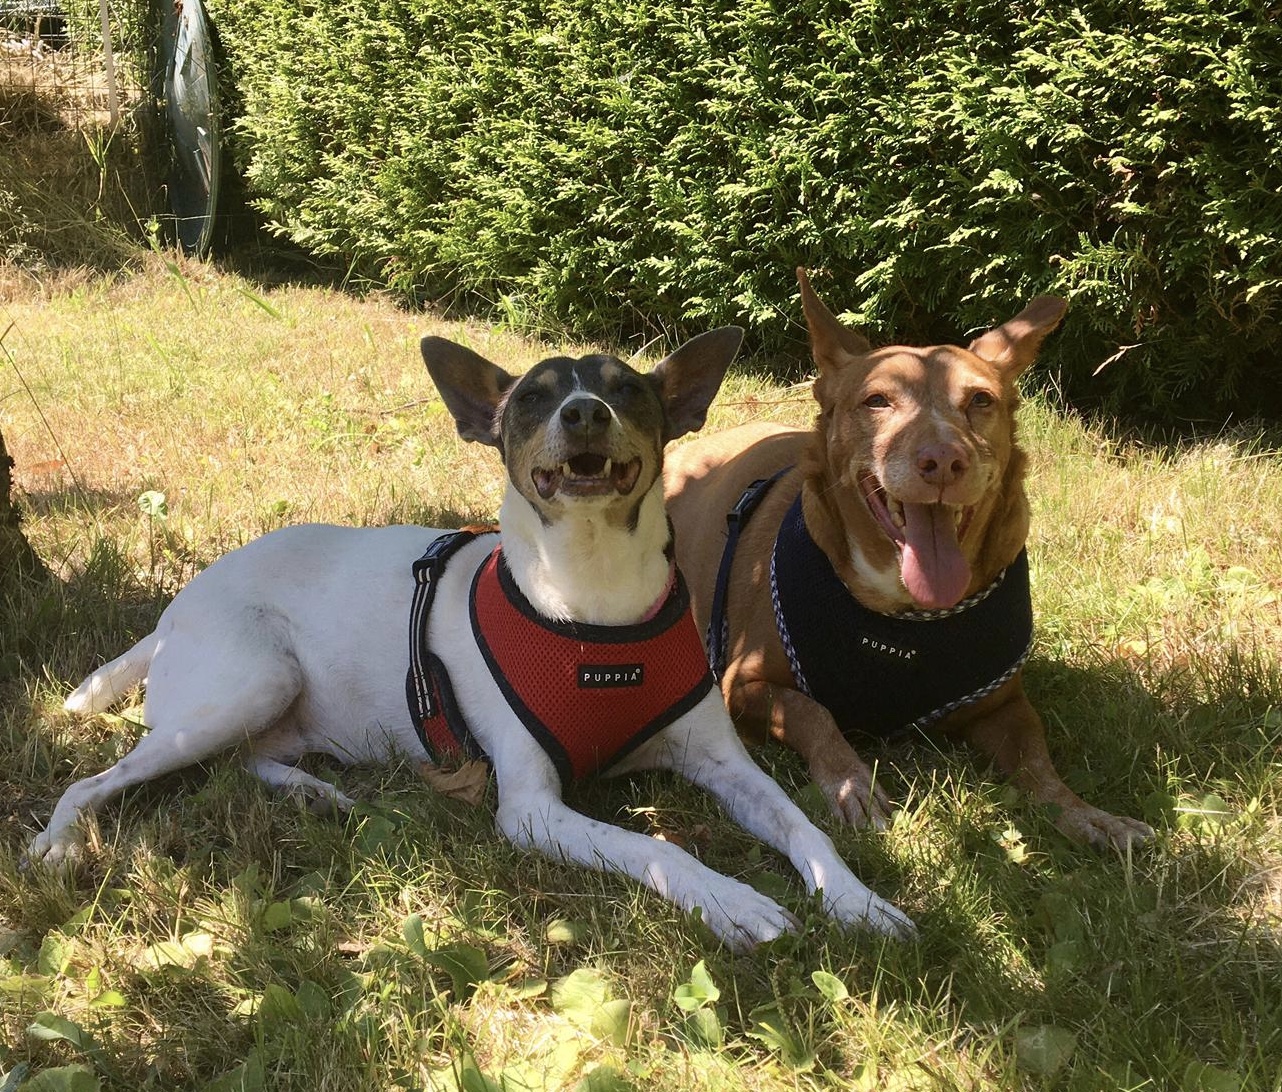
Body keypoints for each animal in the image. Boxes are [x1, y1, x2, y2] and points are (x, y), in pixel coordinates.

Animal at [26, 326, 914, 949]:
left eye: (627, 389)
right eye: (532, 399)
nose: (583, 413)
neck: (593, 605)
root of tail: (175, 609)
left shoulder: (726, 763)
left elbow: (806, 829)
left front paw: (860, 901)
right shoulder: (531, 810)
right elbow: (660, 849)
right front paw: (735, 902)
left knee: (246, 760)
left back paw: (313, 790)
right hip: (248, 683)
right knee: (99, 780)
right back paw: (60, 843)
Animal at [664, 269, 1153, 851]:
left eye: (981, 400)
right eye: (877, 401)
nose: (942, 459)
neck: (904, 613)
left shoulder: (1003, 705)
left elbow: (1039, 761)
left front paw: (1086, 815)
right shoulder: (744, 682)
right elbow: (812, 712)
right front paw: (851, 782)